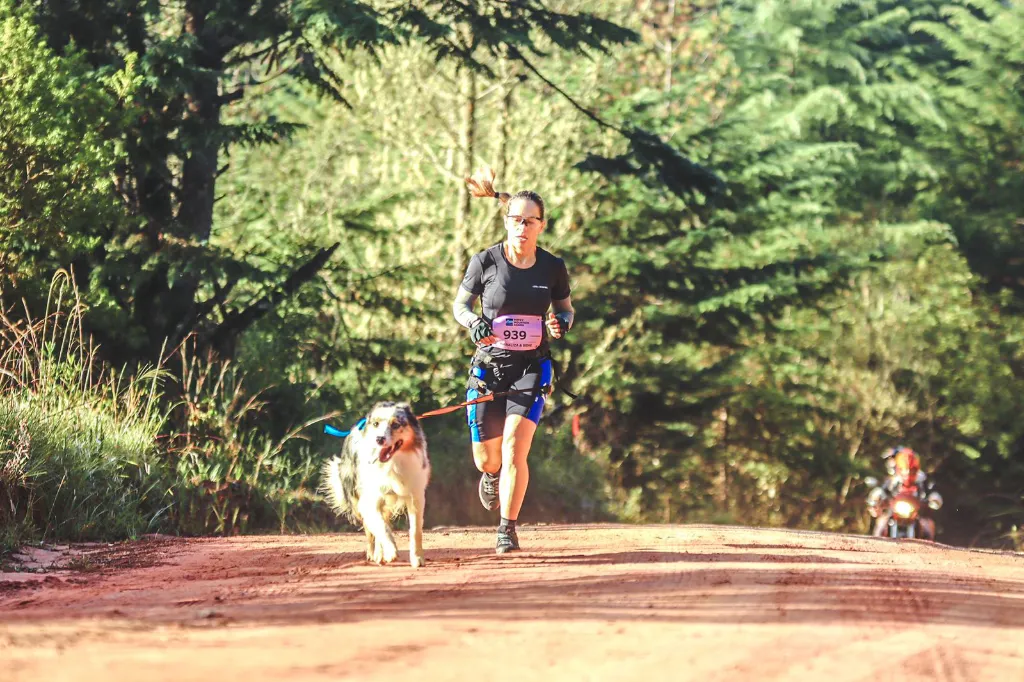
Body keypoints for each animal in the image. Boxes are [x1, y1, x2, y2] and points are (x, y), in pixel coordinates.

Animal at [321, 401, 430, 565]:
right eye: (376, 424)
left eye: (396, 424)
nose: (379, 439)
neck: (392, 464)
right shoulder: (369, 499)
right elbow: (381, 528)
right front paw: (390, 552)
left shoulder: (415, 495)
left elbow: (415, 530)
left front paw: (417, 558)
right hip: (356, 497)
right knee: (371, 528)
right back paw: (375, 554)